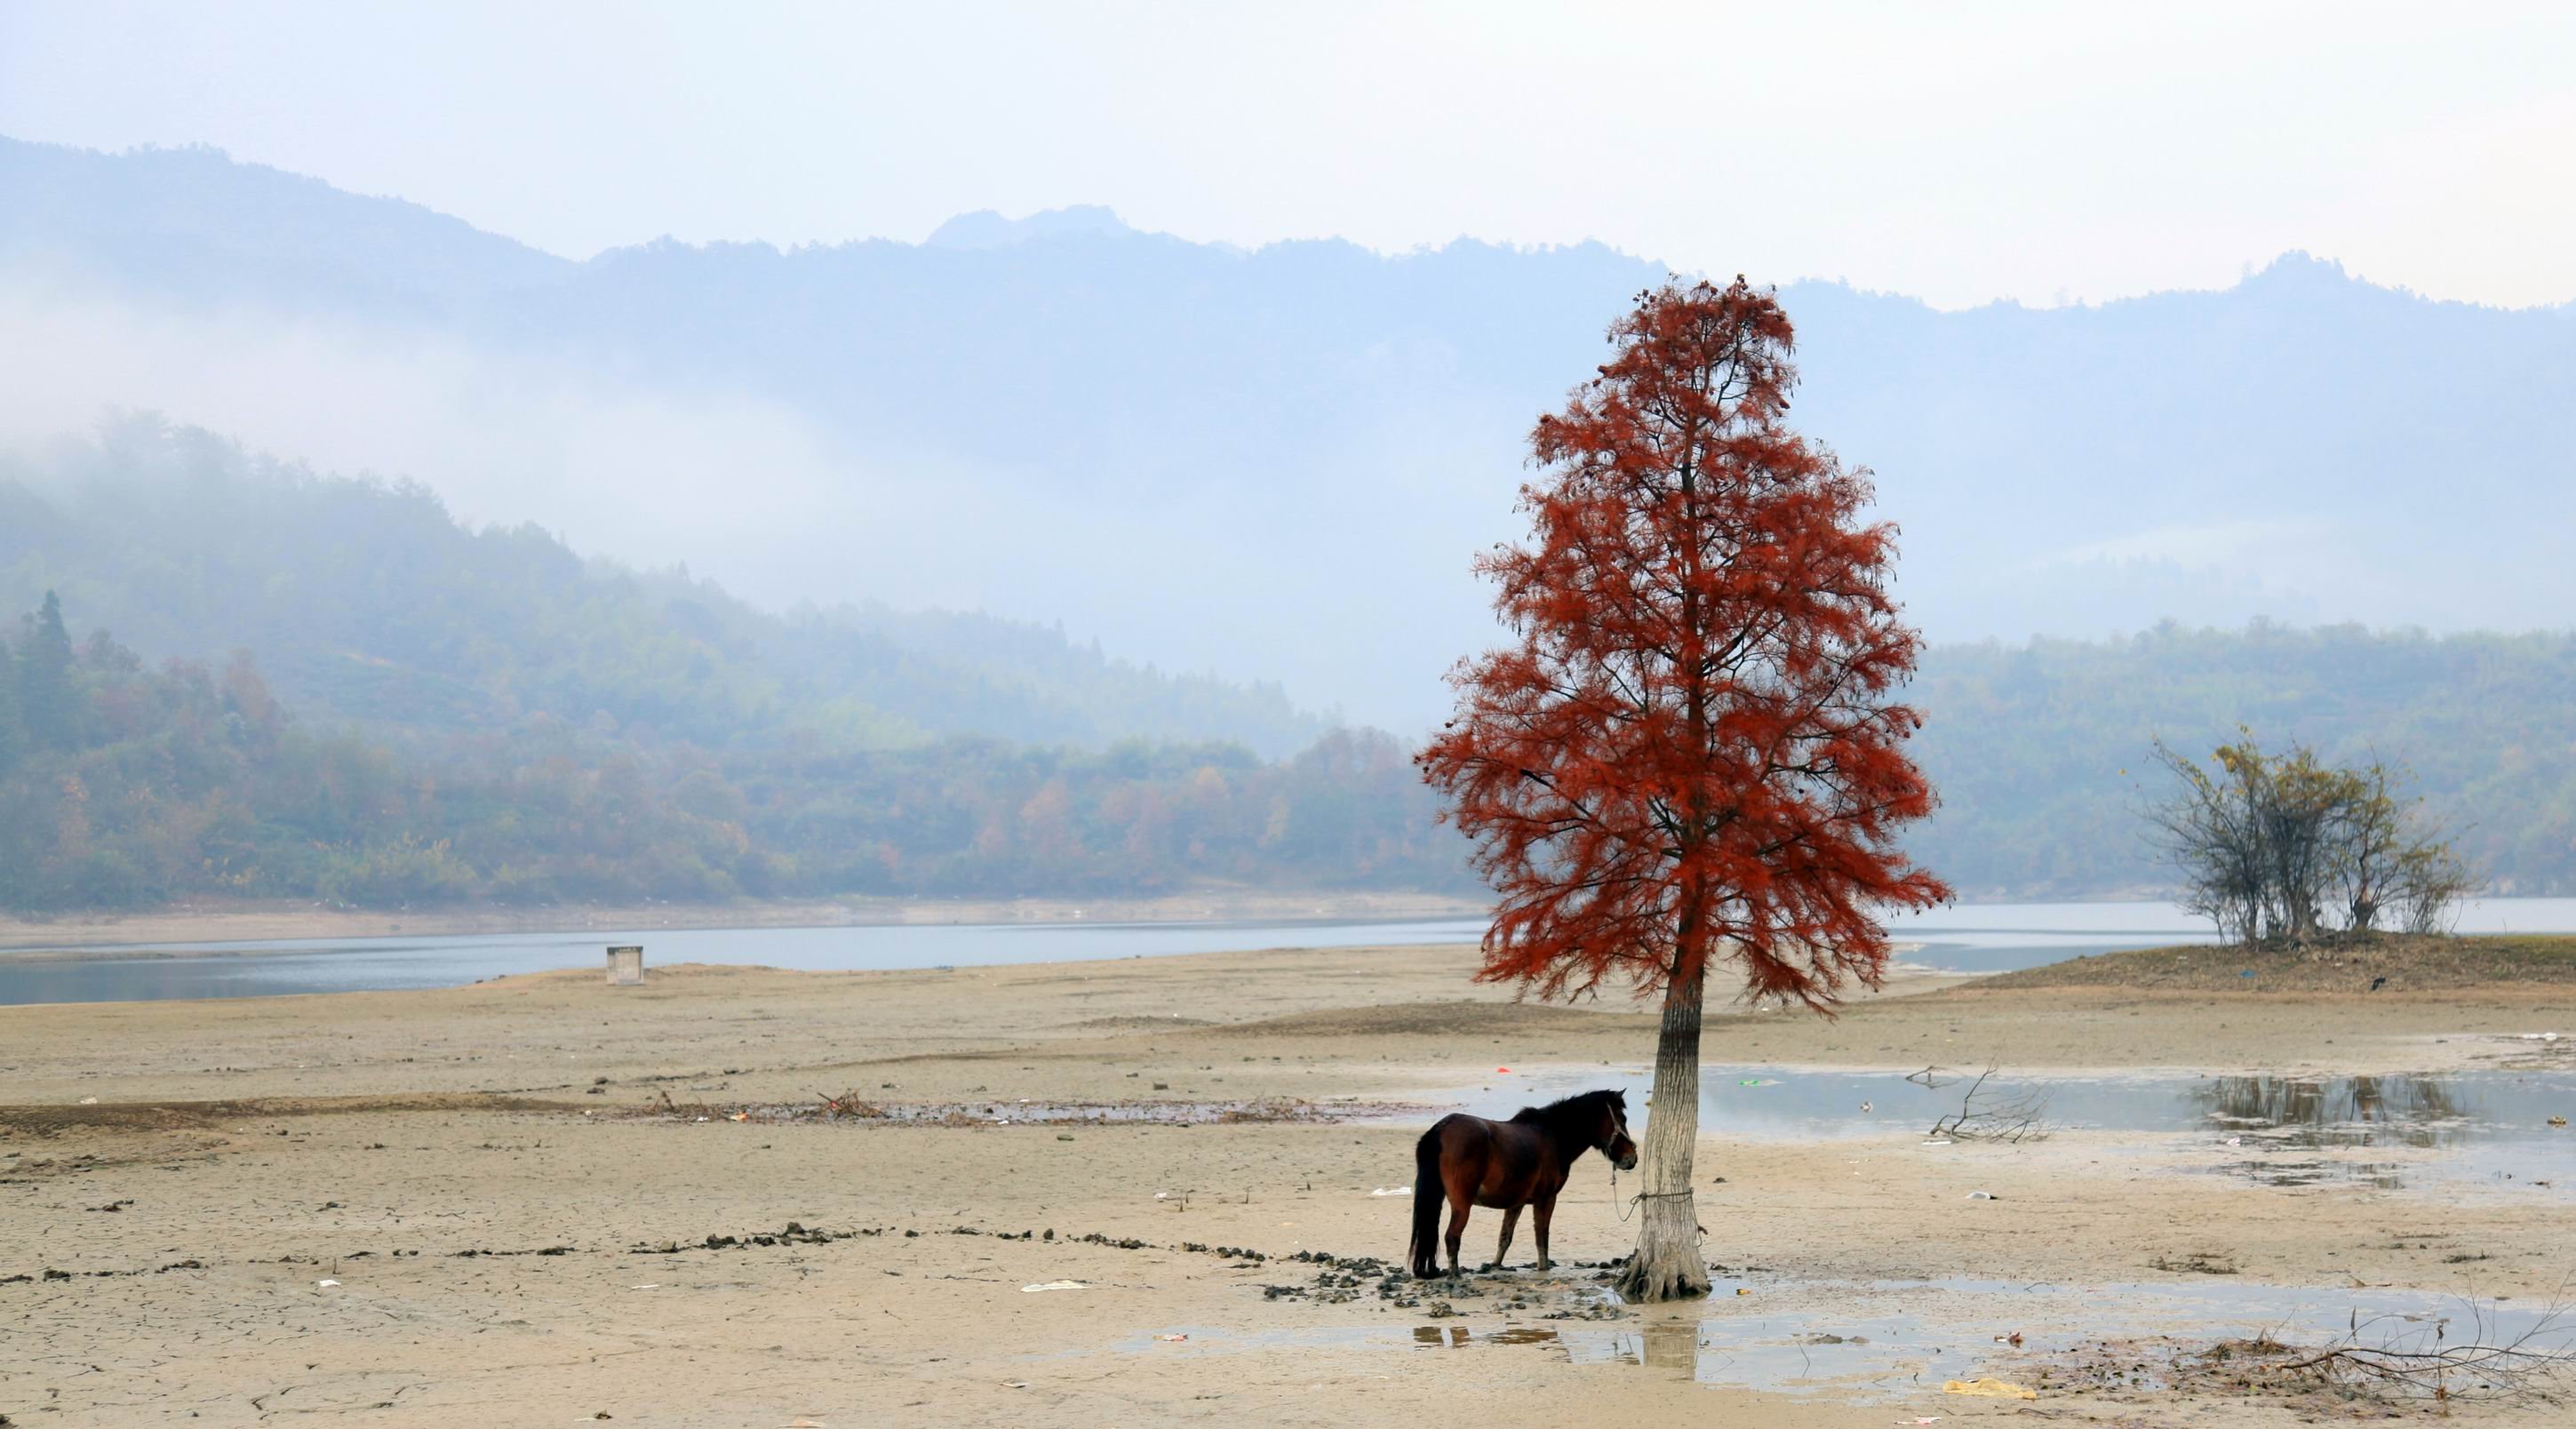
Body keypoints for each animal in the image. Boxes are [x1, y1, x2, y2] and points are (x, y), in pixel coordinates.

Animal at [1407, 1088, 1639, 1278]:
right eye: (1622, 1118)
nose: (1632, 1158)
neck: (1553, 1136)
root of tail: (1441, 1128)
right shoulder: (1546, 1199)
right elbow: (1541, 1238)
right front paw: (1543, 1269)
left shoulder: (1515, 1203)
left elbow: (1505, 1238)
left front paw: (1495, 1265)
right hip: (1461, 1204)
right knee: (1452, 1237)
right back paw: (1455, 1275)